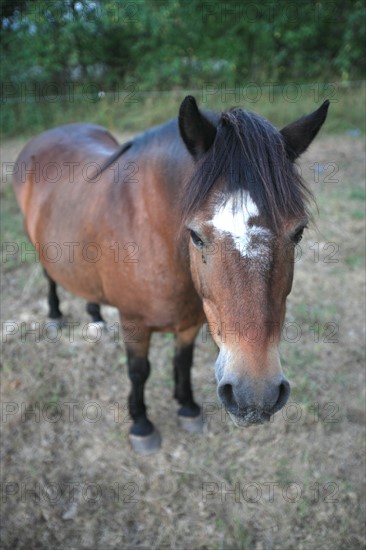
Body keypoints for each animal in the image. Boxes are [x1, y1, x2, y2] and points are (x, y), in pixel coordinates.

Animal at [12, 97, 328, 454]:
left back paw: (95, 316)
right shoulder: (134, 323)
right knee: (48, 274)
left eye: (298, 232)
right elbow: (139, 371)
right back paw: (54, 314)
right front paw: (141, 425)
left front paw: (187, 408)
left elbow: (183, 361)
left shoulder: (191, 321)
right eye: (195, 235)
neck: (152, 234)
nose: (255, 396)